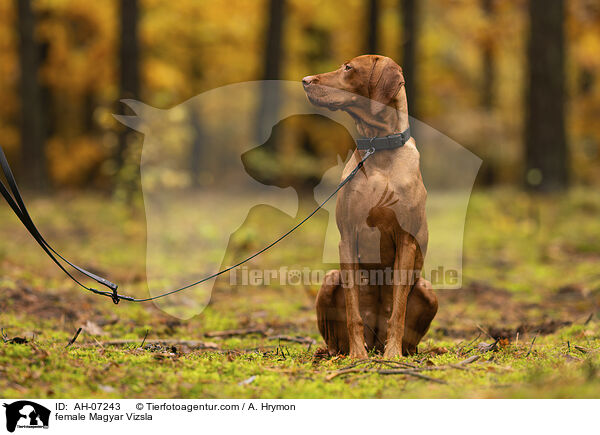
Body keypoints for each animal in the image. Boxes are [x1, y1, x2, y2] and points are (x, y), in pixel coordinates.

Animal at [304, 54, 436, 360]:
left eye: (348, 68)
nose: (305, 81)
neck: (380, 148)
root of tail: (374, 339)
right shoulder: (348, 237)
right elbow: (353, 309)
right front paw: (357, 356)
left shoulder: (407, 241)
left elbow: (398, 309)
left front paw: (393, 356)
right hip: (330, 280)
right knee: (334, 339)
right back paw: (337, 353)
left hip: (427, 289)